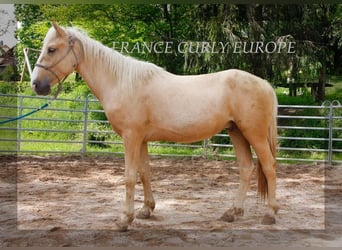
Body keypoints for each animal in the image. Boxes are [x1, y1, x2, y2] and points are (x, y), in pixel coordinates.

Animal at [30, 23, 280, 230]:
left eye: (51, 49)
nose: (36, 84)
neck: (122, 83)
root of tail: (265, 84)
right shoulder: (141, 140)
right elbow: (144, 173)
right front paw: (146, 210)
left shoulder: (131, 137)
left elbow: (129, 177)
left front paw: (125, 219)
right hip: (237, 132)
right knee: (246, 168)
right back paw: (232, 212)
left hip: (254, 134)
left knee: (269, 167)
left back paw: (270, 214)